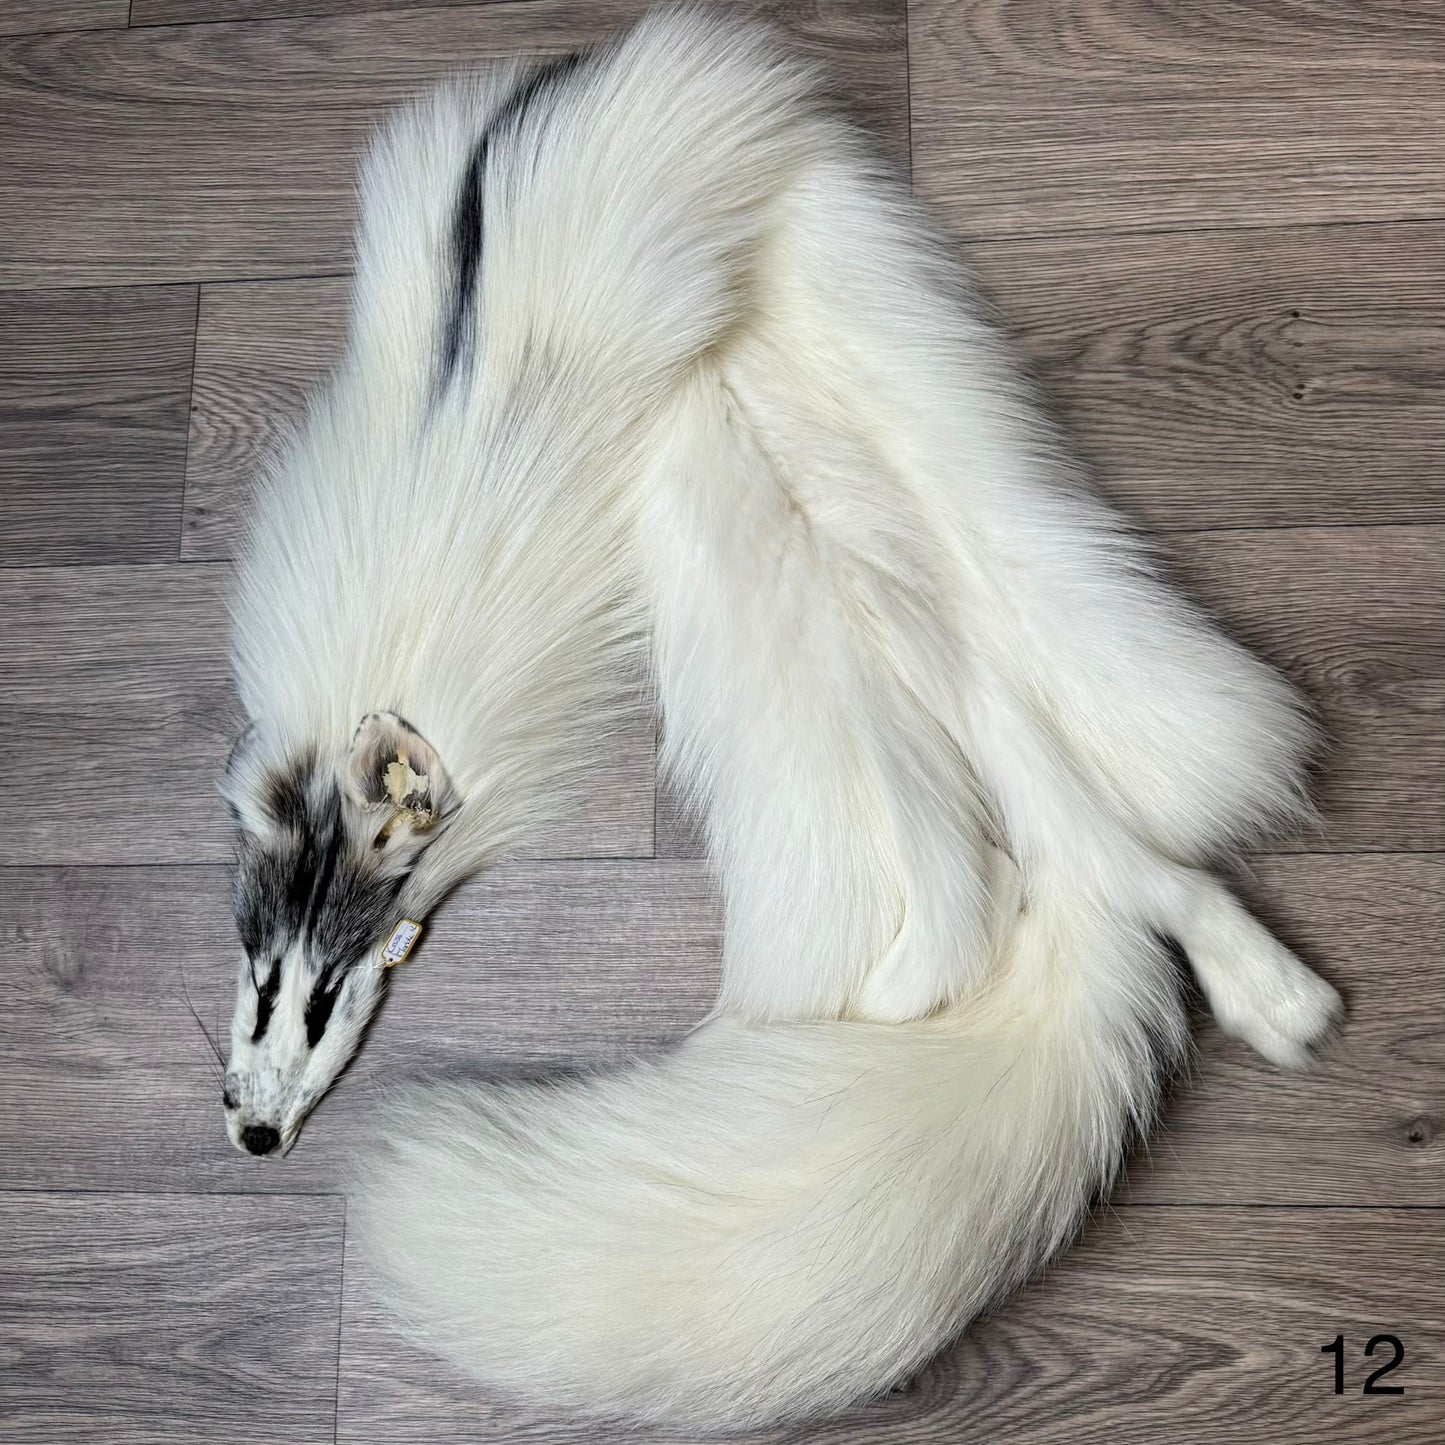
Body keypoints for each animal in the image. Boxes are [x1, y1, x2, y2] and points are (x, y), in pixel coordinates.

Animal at [220, 10, 1343, 1432]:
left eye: (318, 999)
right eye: (261, 980)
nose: (253, 1137)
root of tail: (575, 64)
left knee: (1049, 815)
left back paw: (1264, 991)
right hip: (816, 552)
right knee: (1033, 837)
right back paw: (1254, 986)